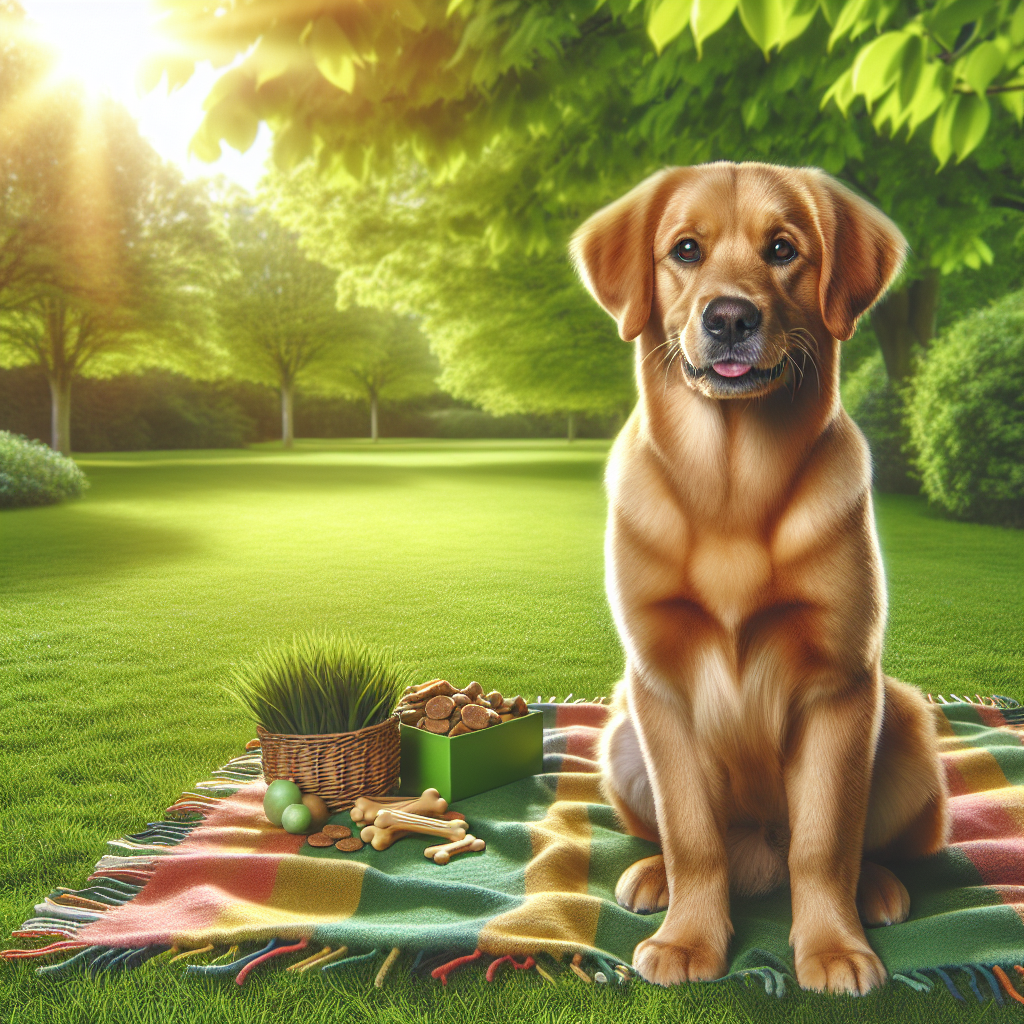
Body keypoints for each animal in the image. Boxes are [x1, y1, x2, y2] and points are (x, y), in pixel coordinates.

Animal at [569, 161, 950, 991]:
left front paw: (833, 949)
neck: (732, 482)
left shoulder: (841, 684)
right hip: (619, 734)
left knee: (854, 846)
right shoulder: (660, 686)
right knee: (681, 837)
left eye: (783, 249)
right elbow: (692, 835)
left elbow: (825, 841)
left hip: (905, 720)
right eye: (685, 248)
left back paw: (877, 890)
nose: (731, 318)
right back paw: (653, 878)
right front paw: (689, 941)